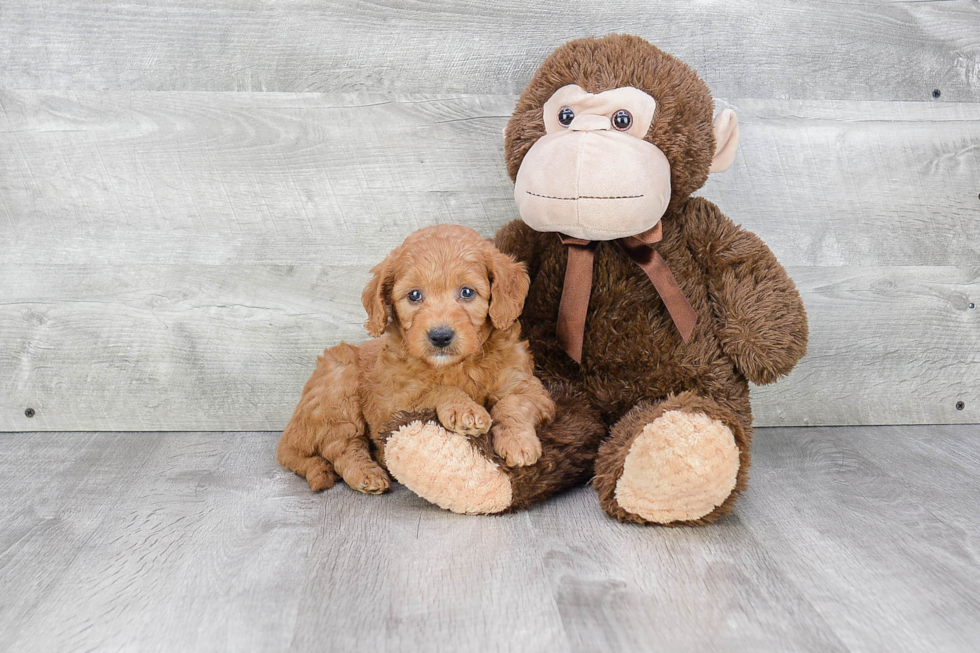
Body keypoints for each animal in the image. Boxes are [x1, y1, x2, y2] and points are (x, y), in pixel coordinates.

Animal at [276, 224, 556, 494]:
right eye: (414, 295)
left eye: (467, 292)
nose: (440, 336)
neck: (458, 366)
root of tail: (287, 436)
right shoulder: (393, 404)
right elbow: (435, 391)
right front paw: (464, 409)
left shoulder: (529, 387)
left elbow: (513, 404)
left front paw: (518, 443)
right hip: (339, 379)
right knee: (342, 449)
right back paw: (367, 474)